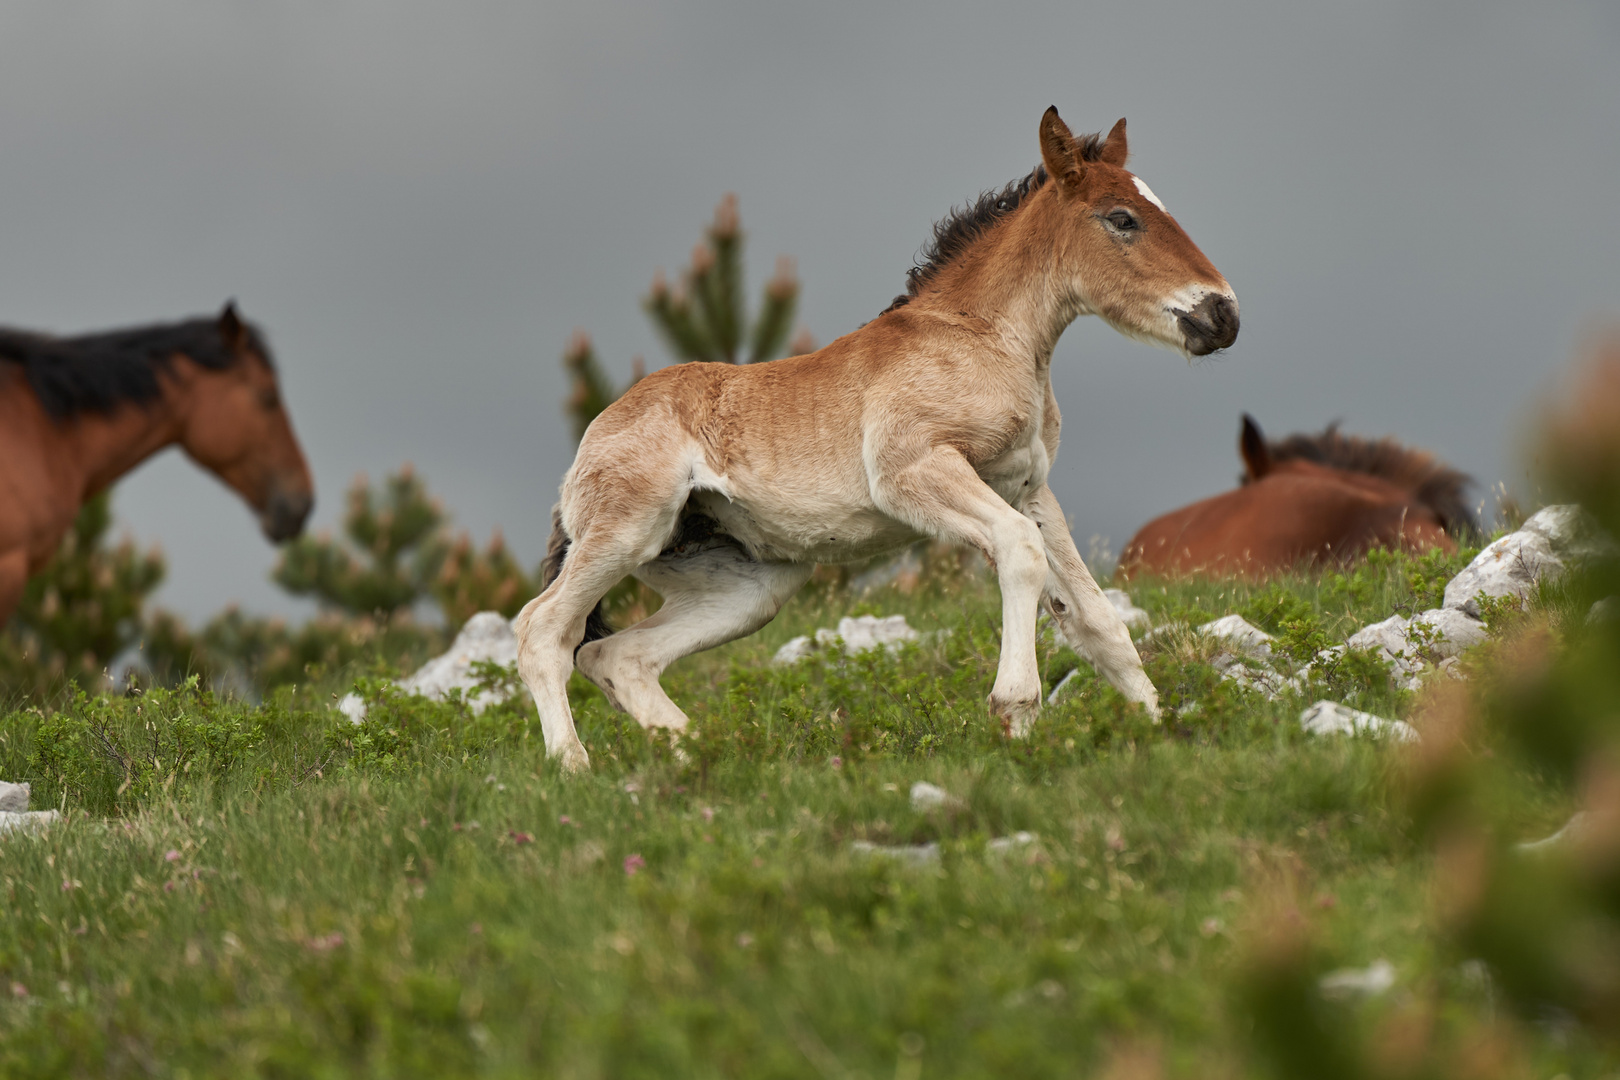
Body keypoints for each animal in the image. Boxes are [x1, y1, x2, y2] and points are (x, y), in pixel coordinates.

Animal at [518, 107, 1237, 767]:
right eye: (1122, 219)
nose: (1222, 315)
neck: (985, 339)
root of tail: (586, 453)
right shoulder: (915, 472)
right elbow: (1020, 552)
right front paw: (1015, 715)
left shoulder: (1028, 488)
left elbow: (1096, 619)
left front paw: (1161, 730)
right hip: (625, 531)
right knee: (542, 630)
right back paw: (574, 769)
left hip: (750, 587)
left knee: (617, 655)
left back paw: (709, 755)